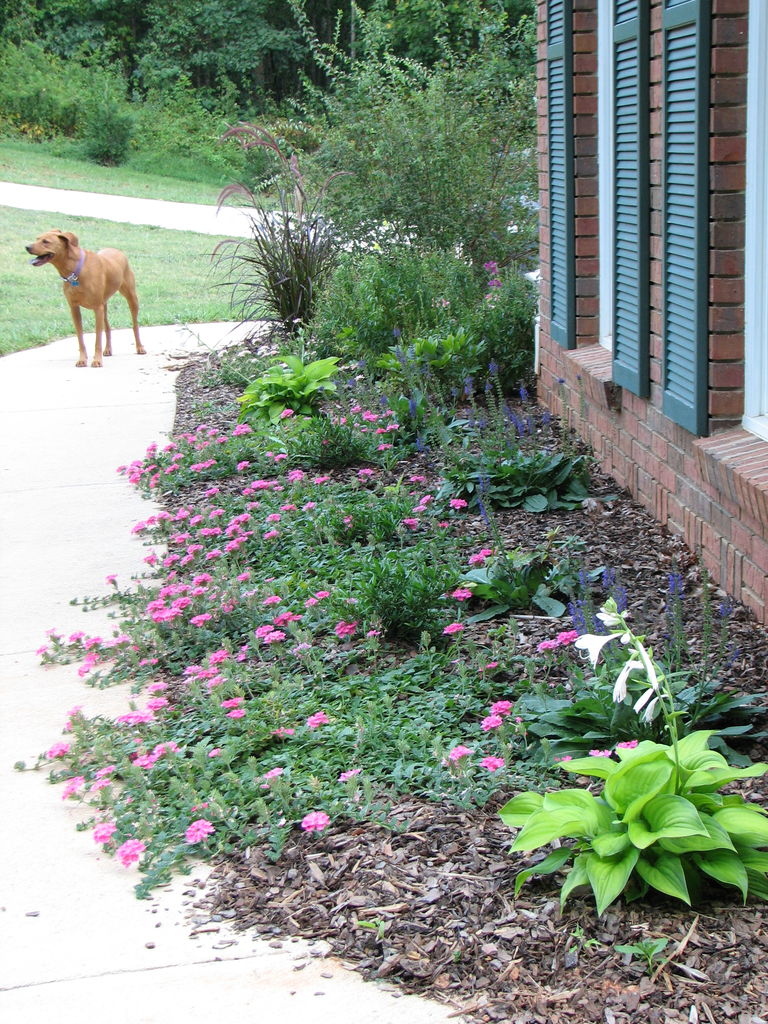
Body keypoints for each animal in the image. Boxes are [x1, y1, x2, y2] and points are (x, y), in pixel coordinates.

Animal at [25, 229, 145, 368]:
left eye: (46, 241)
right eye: (37, 238)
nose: (27, 247)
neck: (76, 270)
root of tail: (117, 250)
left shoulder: (97, 308)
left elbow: (97, 339)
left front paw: (97, 360)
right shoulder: (74, 308)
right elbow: (80, 338)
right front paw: (82, 359)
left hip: (131, 297)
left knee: (135, 325)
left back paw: (140, 347)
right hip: (104, 304)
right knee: (108, 327)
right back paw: (108, 349)